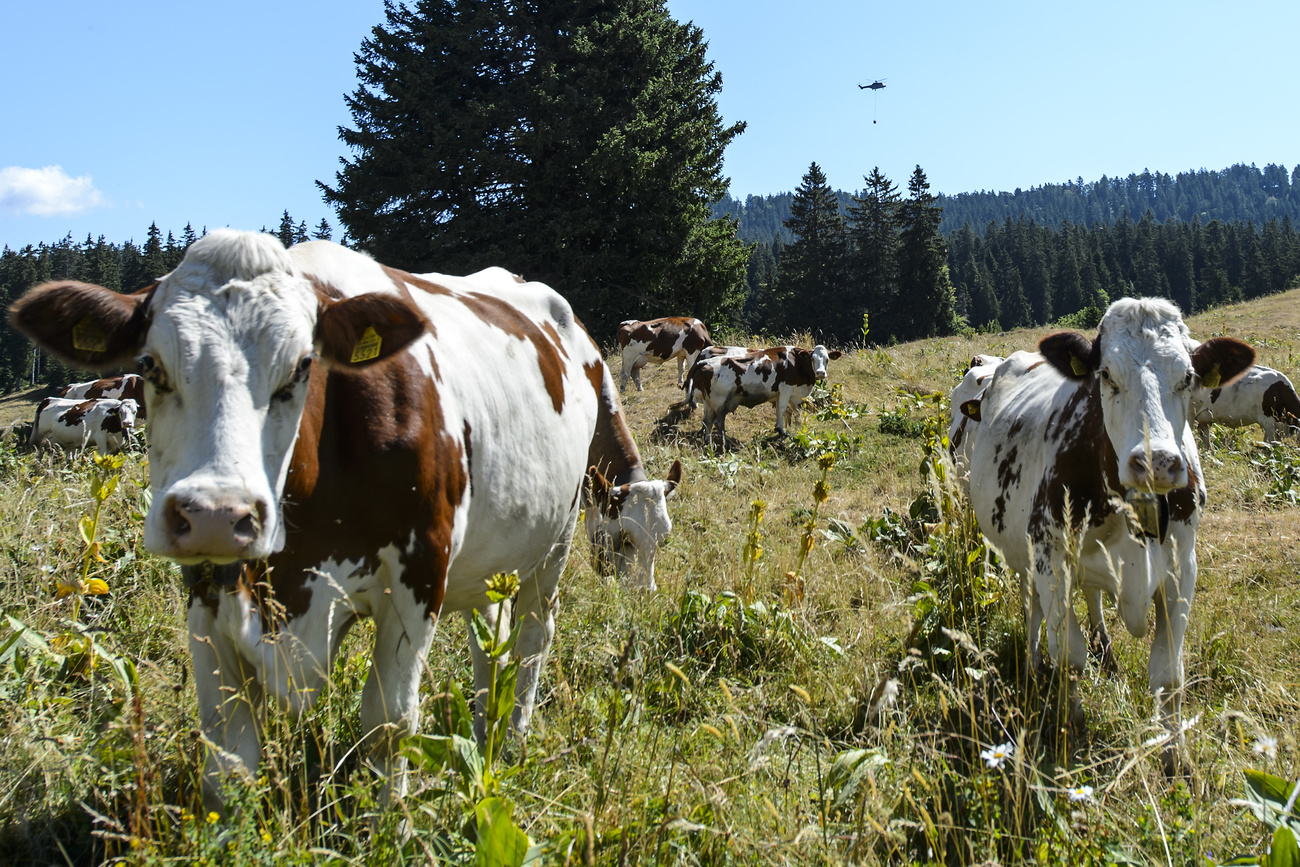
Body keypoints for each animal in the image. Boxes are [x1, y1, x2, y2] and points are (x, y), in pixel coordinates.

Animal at [686, 345, 847, 441]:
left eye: (827, 359)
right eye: (812, 359)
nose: (820, 373)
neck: (797, 363)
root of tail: (705, 362)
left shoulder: (793, 395)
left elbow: (795, 412)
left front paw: (797, 427)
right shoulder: (785, 389)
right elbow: (781, 410)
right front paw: (781, 430)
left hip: (710, 401)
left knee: (707, 420)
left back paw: (708, 441)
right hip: (720, 400)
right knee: (717, 421)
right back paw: (724, 442)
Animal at [972, 298, 1253, 774]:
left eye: (1188, 377)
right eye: (1105, 374)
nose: (1157, 462)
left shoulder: (1182, 566)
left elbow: (1169, 673)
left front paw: (1175, 756)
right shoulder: (1050, 556)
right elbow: (1068, 656)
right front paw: (1073, 731)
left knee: (1092, 596)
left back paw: (1105, 649)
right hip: (1024, 556)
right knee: (1033, 608)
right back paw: (1032, 665)